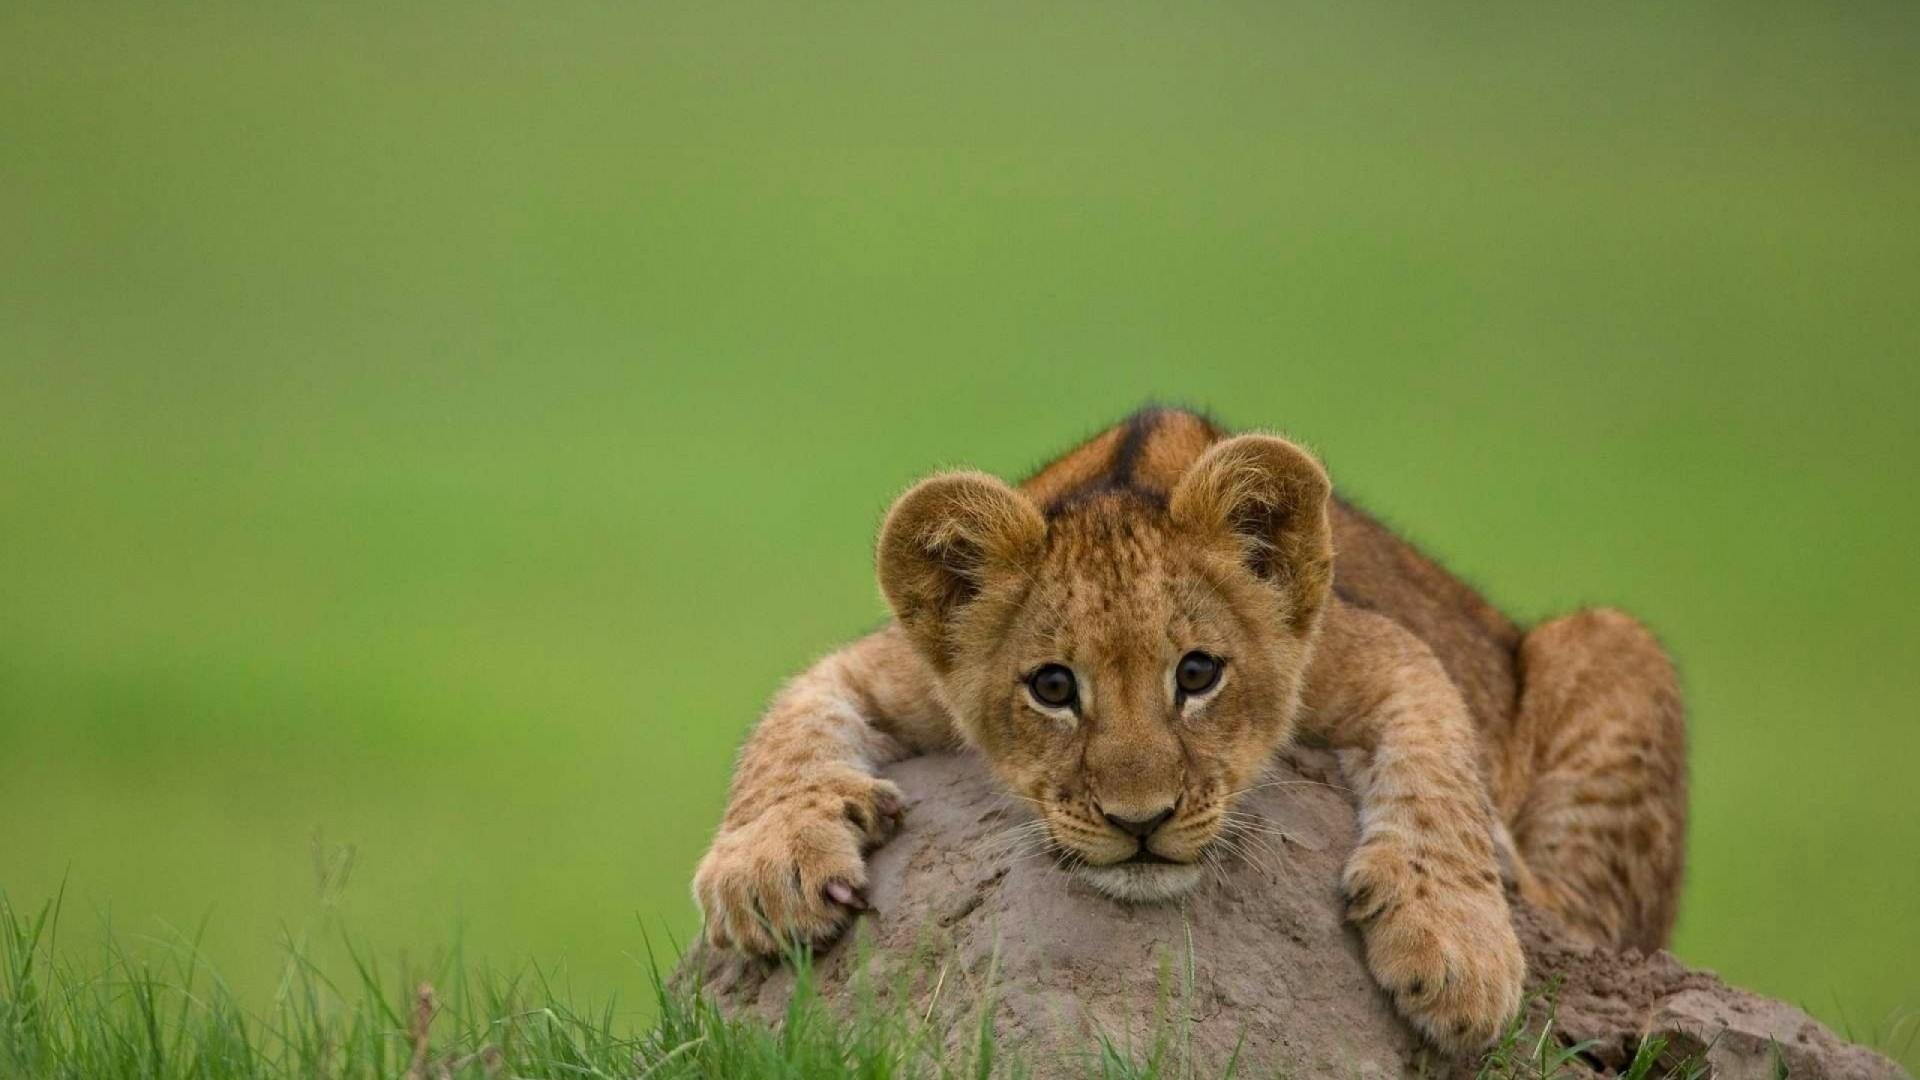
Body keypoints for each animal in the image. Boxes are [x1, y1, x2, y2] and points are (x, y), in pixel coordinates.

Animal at [692, 407, 1688, 1051]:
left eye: (1199, 674)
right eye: (1053, 687)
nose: (1142, 822)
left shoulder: (1378, 647)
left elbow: (1441, 764)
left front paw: (1455, 945)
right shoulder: (888, 666)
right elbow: (787, 725)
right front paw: (767, 870)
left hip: (1615, 642)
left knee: (1594, 920)